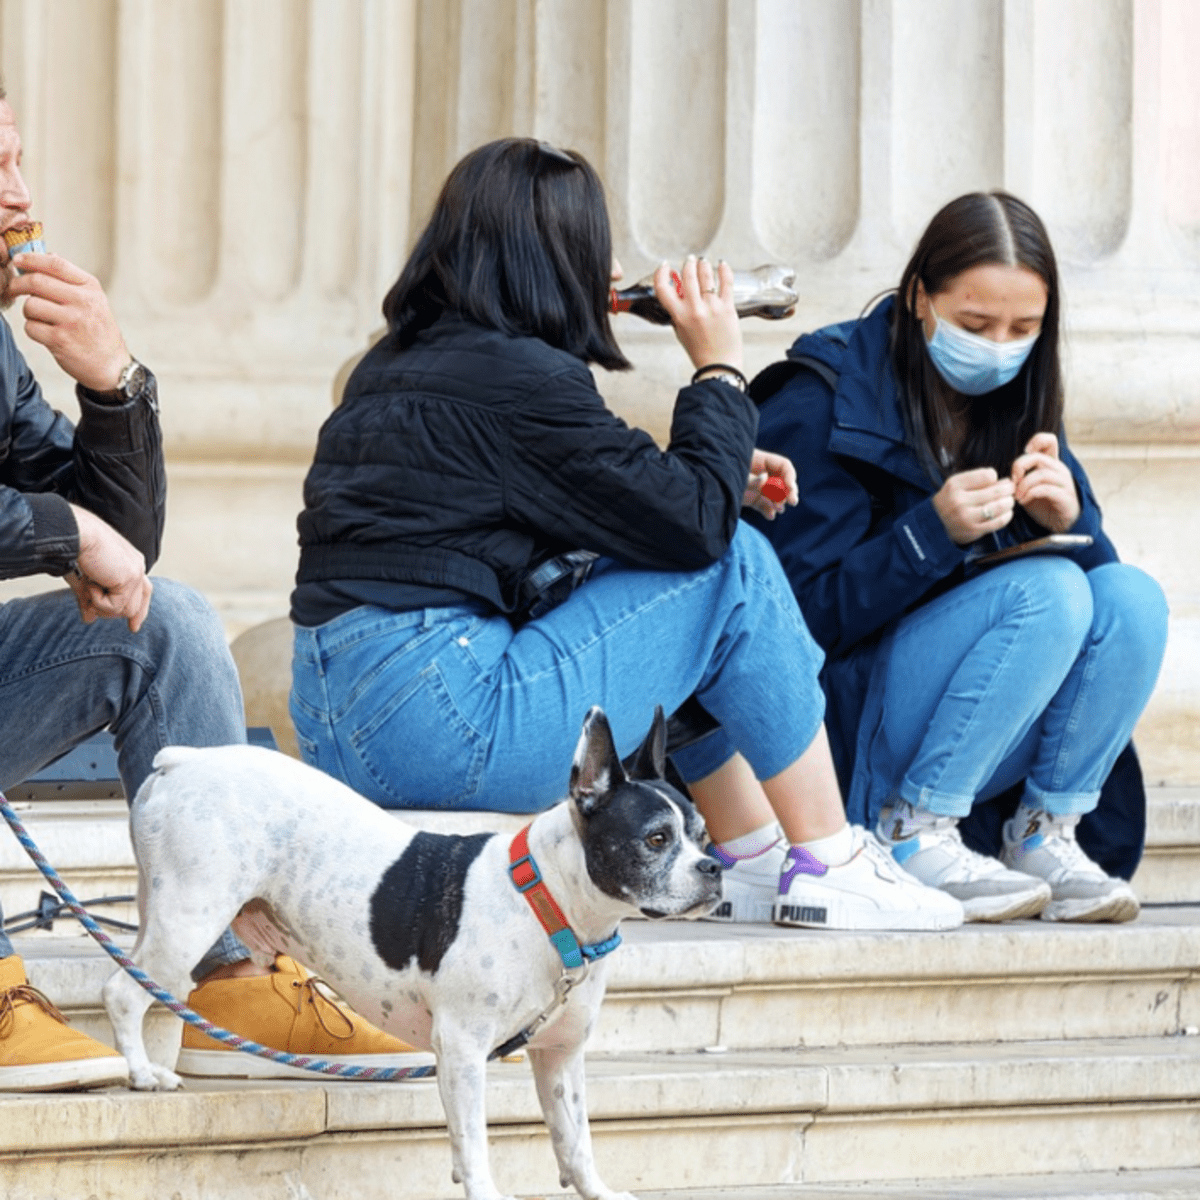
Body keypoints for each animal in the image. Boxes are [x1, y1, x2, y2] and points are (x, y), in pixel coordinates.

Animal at [105, 700, 720, 1200]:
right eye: (656, 839)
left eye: (703, 837)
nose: (714, 868)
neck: (549, 903)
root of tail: (183, 761)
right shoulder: (465, 1048)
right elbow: (474, 1136)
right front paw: (483, 1190)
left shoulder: (560, 1056)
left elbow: (576, 1138)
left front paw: (597, 1190)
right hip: (190, 917)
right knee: (124, 991)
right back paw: (140, 1074)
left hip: (164, 910)